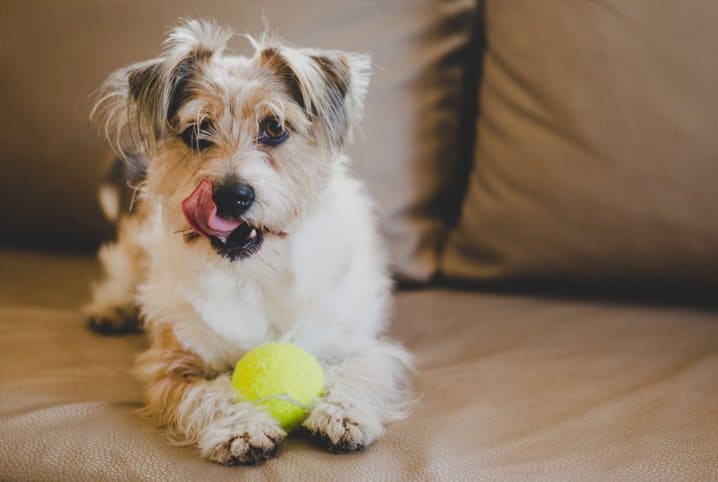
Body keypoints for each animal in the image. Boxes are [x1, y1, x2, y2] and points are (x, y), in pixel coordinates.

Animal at [81, 20, 414, 466]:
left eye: (274, 128)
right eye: (197, 132)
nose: (231, 196)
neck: (253, 273)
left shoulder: (362, 346)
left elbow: (359, 372)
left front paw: (343, 414)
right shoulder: (170, 364)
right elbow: (208, 393)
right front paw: (241, 428)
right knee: (120, 267)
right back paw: (110, 308)